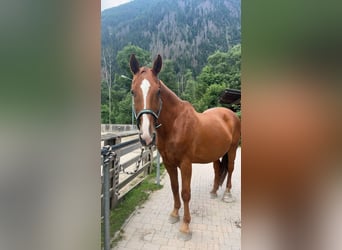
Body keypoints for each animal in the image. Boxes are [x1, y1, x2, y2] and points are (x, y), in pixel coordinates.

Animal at [129, 53, 240, 239]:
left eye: (158, 91)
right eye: (132, 91)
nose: (146, 136)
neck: (175, 124)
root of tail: (231, 114)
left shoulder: (186, 164)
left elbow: (185, 193)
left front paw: (186, 226)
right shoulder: (169, 163)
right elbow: (175, 188)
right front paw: (174, 214)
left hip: (232, 149)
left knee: (230, 169)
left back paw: (227, 194)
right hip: (215, 152)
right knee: (218, 169)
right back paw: (213, 191)